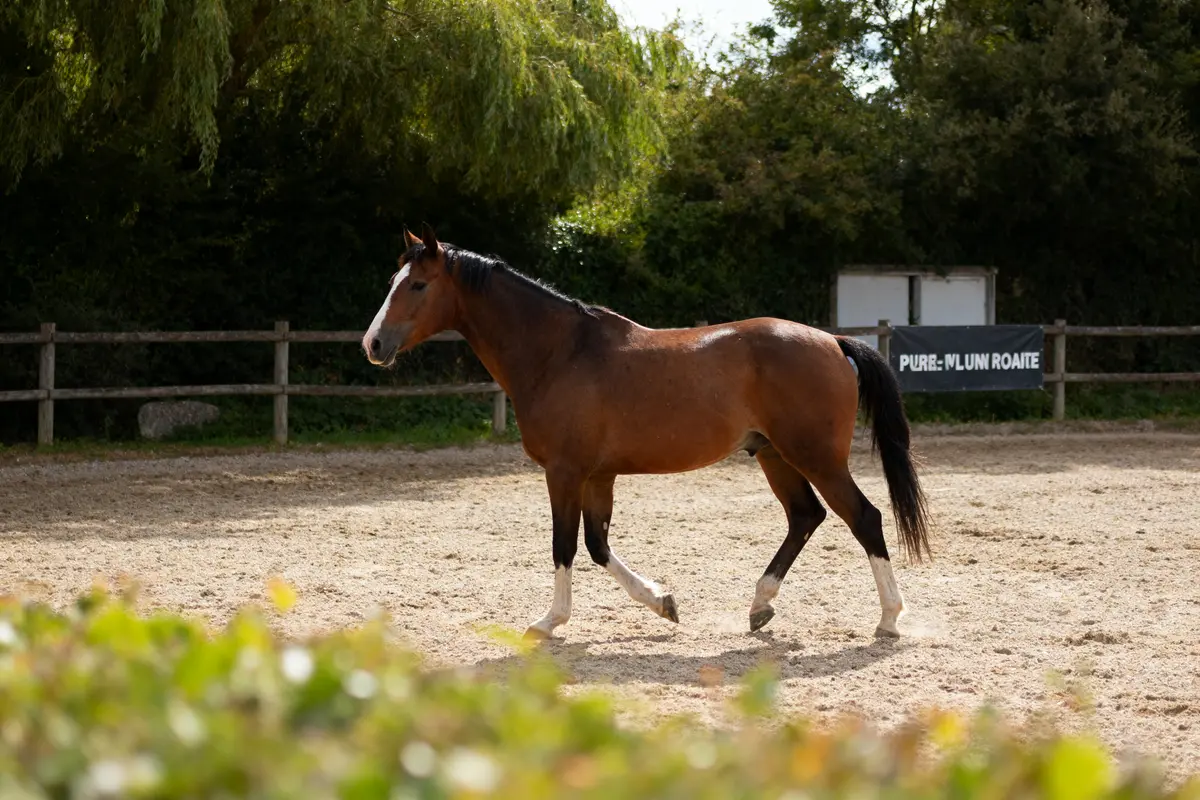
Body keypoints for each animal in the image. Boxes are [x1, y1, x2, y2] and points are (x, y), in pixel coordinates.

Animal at [362, 223, 932, 640]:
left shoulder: (565, 473)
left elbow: (564, 545)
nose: (373, 344)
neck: (559, 353)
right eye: (391, 282)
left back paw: (888, 618)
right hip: (774, 455)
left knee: (864, 517)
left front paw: (549, 622)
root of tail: (834, 342)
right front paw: (663, 603)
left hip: (816, 457)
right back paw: (759, 606)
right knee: (805, 517)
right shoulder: (598, 476)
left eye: (418, 285)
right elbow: (597, 545)